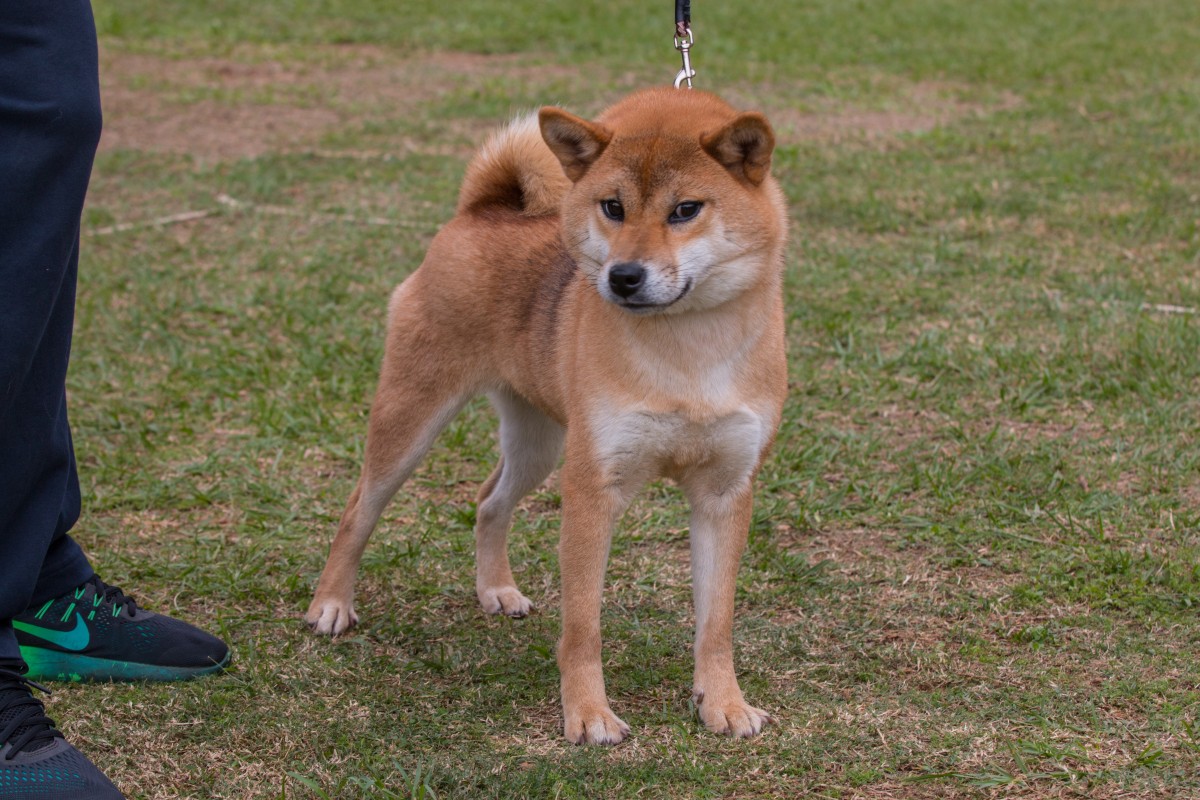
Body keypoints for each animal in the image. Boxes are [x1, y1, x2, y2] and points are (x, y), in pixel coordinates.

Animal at [307, 86, 787, 743]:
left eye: (686, 209)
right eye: (612, 207)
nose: (624, 276)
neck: (688, 350)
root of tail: (482, 212)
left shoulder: (725, 491)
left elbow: (716, 623)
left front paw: (723, 702)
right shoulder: (592, 488)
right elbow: (583, 626)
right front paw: (587, 714)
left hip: (538, 443)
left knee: (489, 501)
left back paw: (497, 590)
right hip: (411, 420)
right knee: (358, 509)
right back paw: (331, 605)